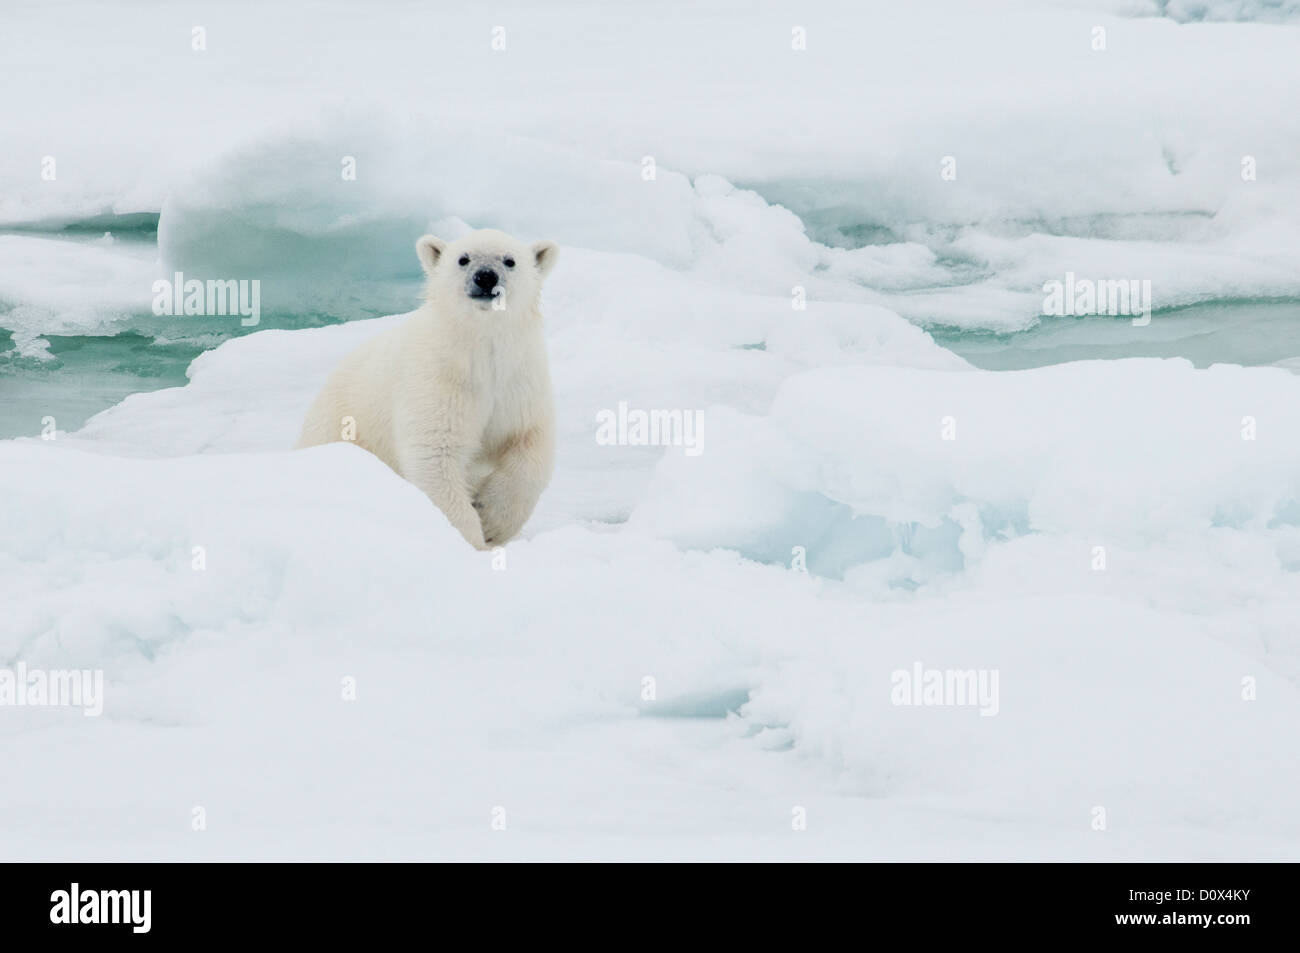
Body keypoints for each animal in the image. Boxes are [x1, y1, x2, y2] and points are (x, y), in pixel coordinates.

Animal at [297, 226, 561, 546]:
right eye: (463, 258)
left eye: (509, 260)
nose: (486, 277)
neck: (480, 350)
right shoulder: (437, 379)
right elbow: (435, 453)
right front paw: (470, 538)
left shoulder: (518, 381)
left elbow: (529, 441)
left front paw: (492, 520)